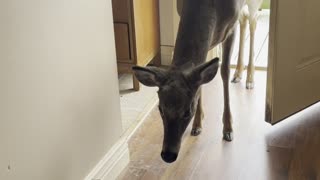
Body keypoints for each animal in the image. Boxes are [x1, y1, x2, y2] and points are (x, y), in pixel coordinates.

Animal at [132, 0, 262, 163]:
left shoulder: (231, 29)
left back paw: (250, 80)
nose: (168, 155)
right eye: (160, 109)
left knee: (253, 21)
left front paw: (228, 129)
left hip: (252, 6)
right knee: (244, 19)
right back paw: (238, 74)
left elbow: (224, 71)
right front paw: (197, 124)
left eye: (188, 111)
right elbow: (200, 80)